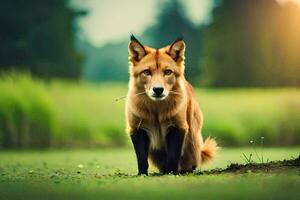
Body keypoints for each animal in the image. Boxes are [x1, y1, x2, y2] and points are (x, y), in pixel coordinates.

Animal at [125, 35, 217, 174]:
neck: (157, 111)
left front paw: (172, 173)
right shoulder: (137, 129)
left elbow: (173, 156)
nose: (158, 90)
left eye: (168, 72)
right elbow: (141, 159)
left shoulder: (178, 128)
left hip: (192, 140)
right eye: (146, 72)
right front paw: (142, 174)